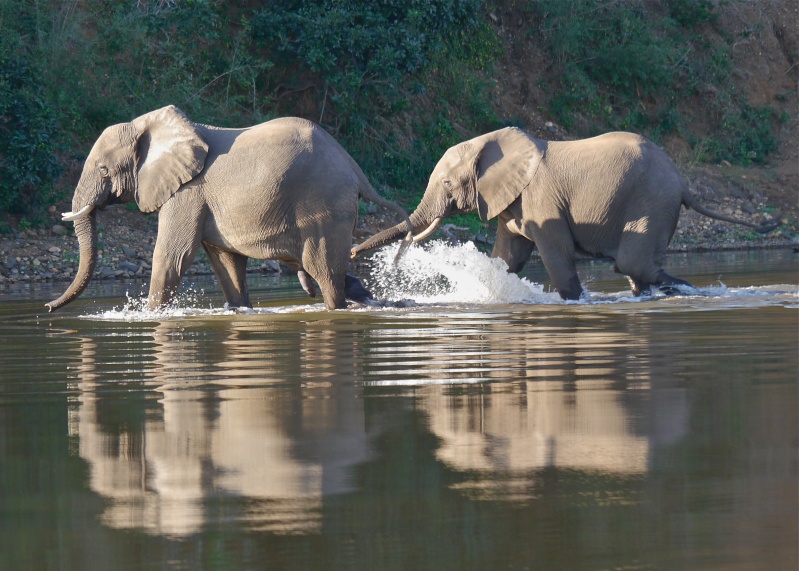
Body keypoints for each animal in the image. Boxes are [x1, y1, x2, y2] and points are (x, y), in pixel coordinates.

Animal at [47, 107, 412, 312]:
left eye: (104, 171)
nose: (48, 309)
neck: (148, 125)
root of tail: (354, 168)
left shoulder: (187, 192)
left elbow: (172, 255)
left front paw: (148, 315)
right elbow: (225, 262)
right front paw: (238, 310)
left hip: (323, 203)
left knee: (323, 272)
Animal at [352, 128, 780, 300]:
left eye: (445, 184)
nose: (355, 253)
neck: (491, 142)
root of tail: (682, 180)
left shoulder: (541, 200)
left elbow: (554, 253)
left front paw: (574, 300)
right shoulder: (511, 204)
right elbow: (507, 258)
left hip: (652, 200)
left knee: (633, 263)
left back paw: (689, 291)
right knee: (636, 270)